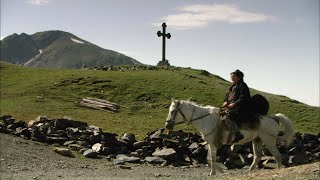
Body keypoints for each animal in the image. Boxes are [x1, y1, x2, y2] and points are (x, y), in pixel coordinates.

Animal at [165, 99, 296, 175]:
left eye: (173, 111)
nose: (167, 125)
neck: (205, 119)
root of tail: (273, 118)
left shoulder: (213, 143)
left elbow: (212, 158)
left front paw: (214, 172)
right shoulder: (210, 143)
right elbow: (209, 159)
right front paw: (219, 171)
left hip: (269, 140)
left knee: (277, 155)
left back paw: (278, 170)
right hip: (257, 140)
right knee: (257, 156)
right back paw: (249, 170)